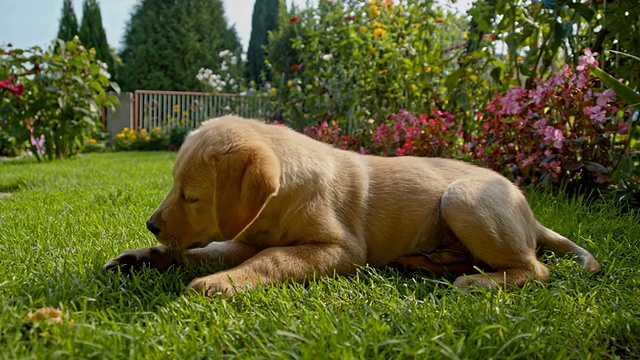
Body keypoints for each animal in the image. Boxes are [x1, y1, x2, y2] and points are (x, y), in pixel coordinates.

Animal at [104, 115, 600, 296]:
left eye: (191, 196)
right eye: (173, 187)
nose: (150, 225)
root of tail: (531, 212)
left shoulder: (340, 249)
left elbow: (273, 259)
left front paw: (221, 283)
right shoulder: (243, 238)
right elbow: (202, 251)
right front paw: (143, 257)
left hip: (462, 198)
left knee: (534, 268)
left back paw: (475, 283)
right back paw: (422, 262)